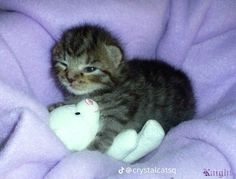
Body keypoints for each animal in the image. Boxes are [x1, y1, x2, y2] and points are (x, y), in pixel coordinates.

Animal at [51, 24, 195, 152]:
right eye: (63, 64)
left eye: (90, 69)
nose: (70, 78)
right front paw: (57, 106)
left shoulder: (120, 111)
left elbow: (108, 130)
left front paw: (92, 149)